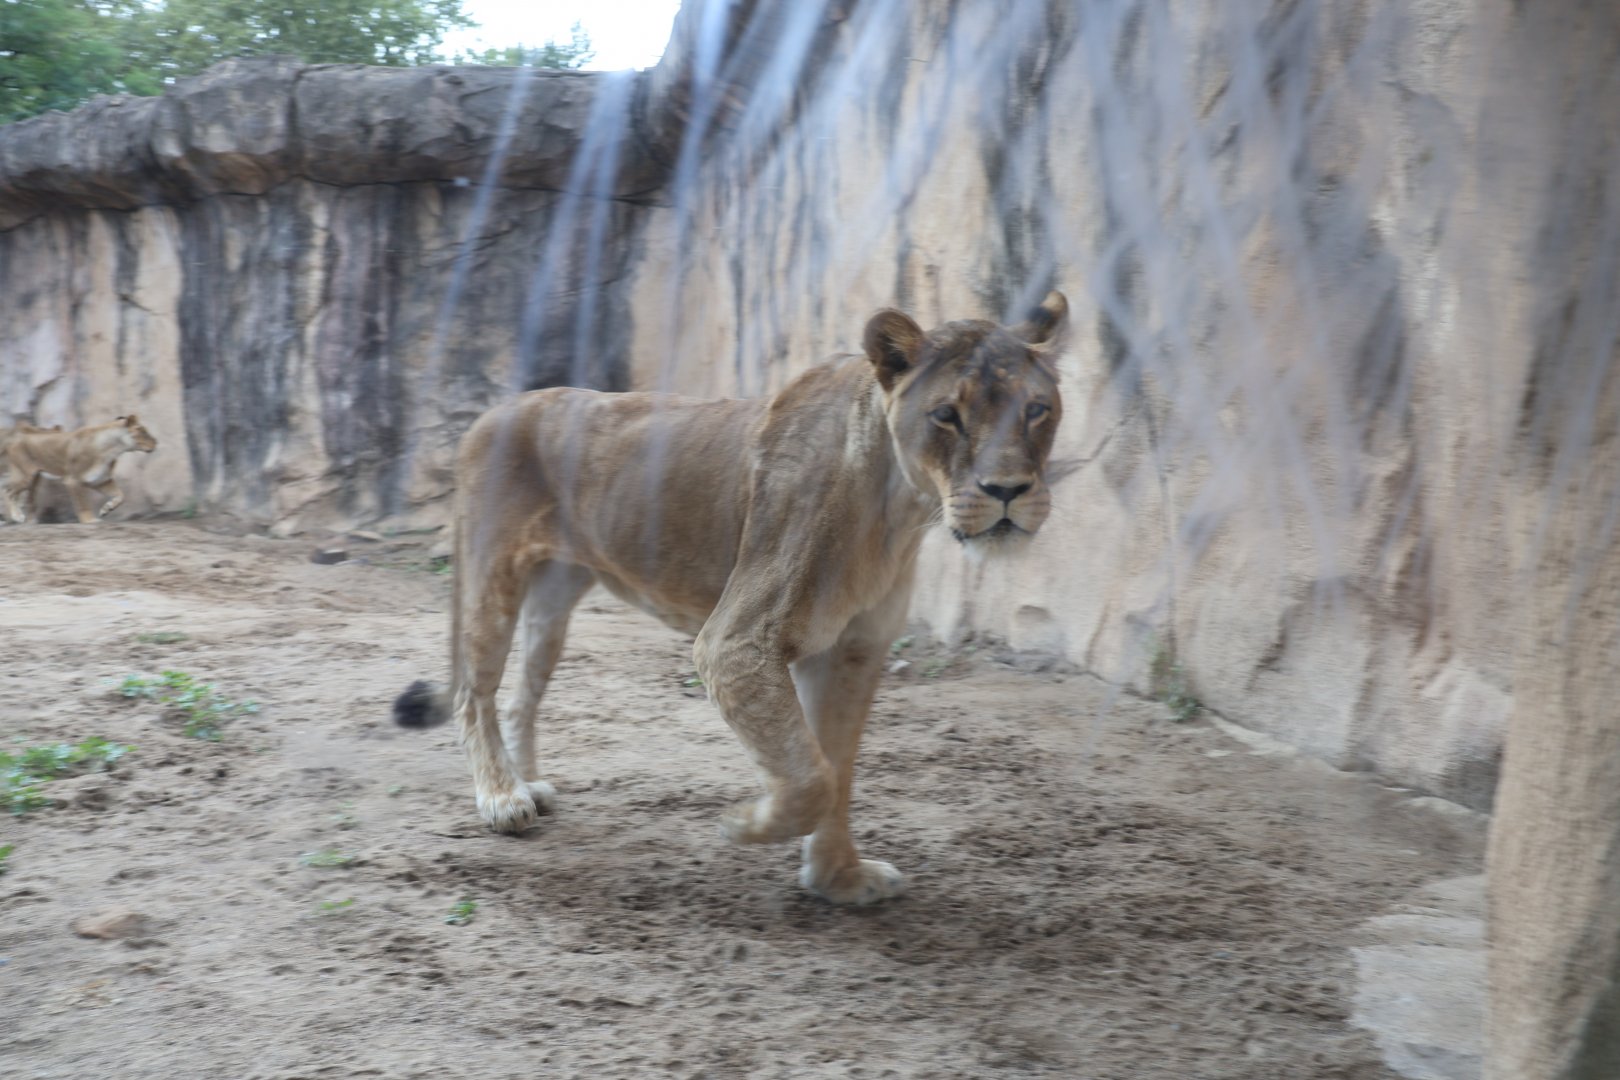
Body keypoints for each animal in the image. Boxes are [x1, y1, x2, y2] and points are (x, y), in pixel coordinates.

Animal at [1, 415, 158, 524]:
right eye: (143, 431)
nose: (156, 442)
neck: (112, 450)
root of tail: (15, 437)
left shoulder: (100, 480)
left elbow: (120, 496)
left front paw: (106, 509)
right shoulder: (73, 480)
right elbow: (83, 503)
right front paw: (90, 520)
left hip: (34, 479)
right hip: (24, 476)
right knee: (8, 491)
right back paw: (17, 516)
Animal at [393, 293, 1069, 904]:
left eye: (1037, 410)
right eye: (947, 414)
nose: (1007, 490)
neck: (898, 508)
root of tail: (491, 413)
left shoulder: (851, 651)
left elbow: (837, 770)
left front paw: (837, 879)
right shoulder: (737, 643)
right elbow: (811, 777)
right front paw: (748, 824)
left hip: (554, 600)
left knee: (521, 696)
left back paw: (529, 783)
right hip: (493, 584)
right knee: (473, 693)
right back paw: (503, 798)